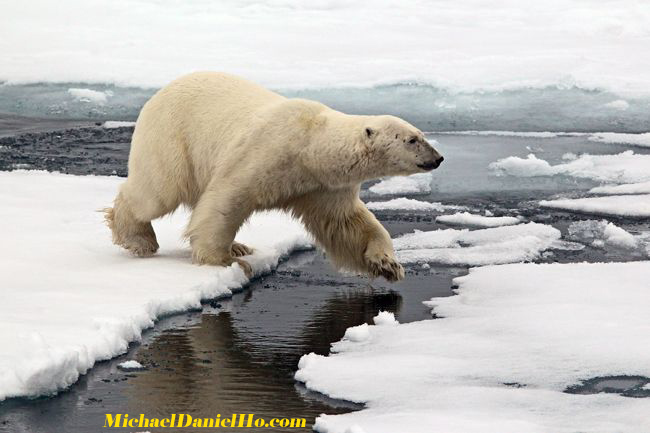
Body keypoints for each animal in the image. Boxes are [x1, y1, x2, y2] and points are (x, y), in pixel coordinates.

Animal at [105, 71, 440, 280]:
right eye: (412, 140)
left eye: (421, 134)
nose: (438, 158)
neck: (310, 147)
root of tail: (157, 94)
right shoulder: (266, 152)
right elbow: (226, 200)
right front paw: (226, 261)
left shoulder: (322, 185)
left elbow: (346, 223)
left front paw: (388, 264)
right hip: (172, 138)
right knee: (156, 192)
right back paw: (139, 240)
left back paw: (240, 244)